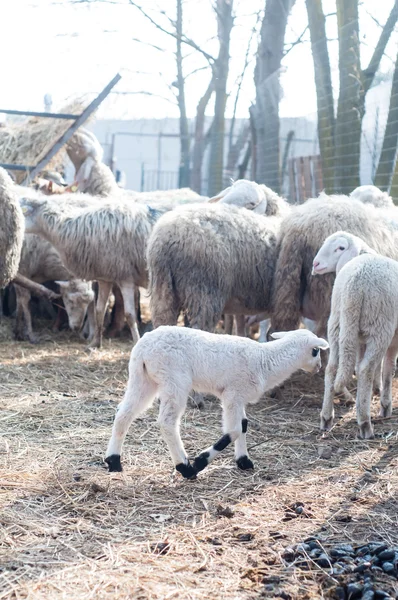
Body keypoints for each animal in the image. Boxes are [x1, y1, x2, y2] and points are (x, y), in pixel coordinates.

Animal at [104, 324, 328, 478]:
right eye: (316, 351)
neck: (264, 361)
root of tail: (143, 347)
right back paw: (185, 468)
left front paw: (244, 461)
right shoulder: (232, 394)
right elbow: (235, 430)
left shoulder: (238, 397)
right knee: (167, 422)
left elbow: (243, 425)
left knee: (123, 413)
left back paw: (113, 462)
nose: (318, 368)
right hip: (174, 379)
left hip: (143, 378)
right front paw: (201, 461)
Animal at [312, 232, 398, 438]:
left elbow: (361, 367)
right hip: (380, 326)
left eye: (340, 248)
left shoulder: (359, 339)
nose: (315, 264)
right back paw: (365, 423)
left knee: (332, 368)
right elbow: (387, 370)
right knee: (367, 368)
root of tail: (355, 284)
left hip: (337, 323)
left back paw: (326, 417)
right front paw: (385, 406)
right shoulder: (393, 338)